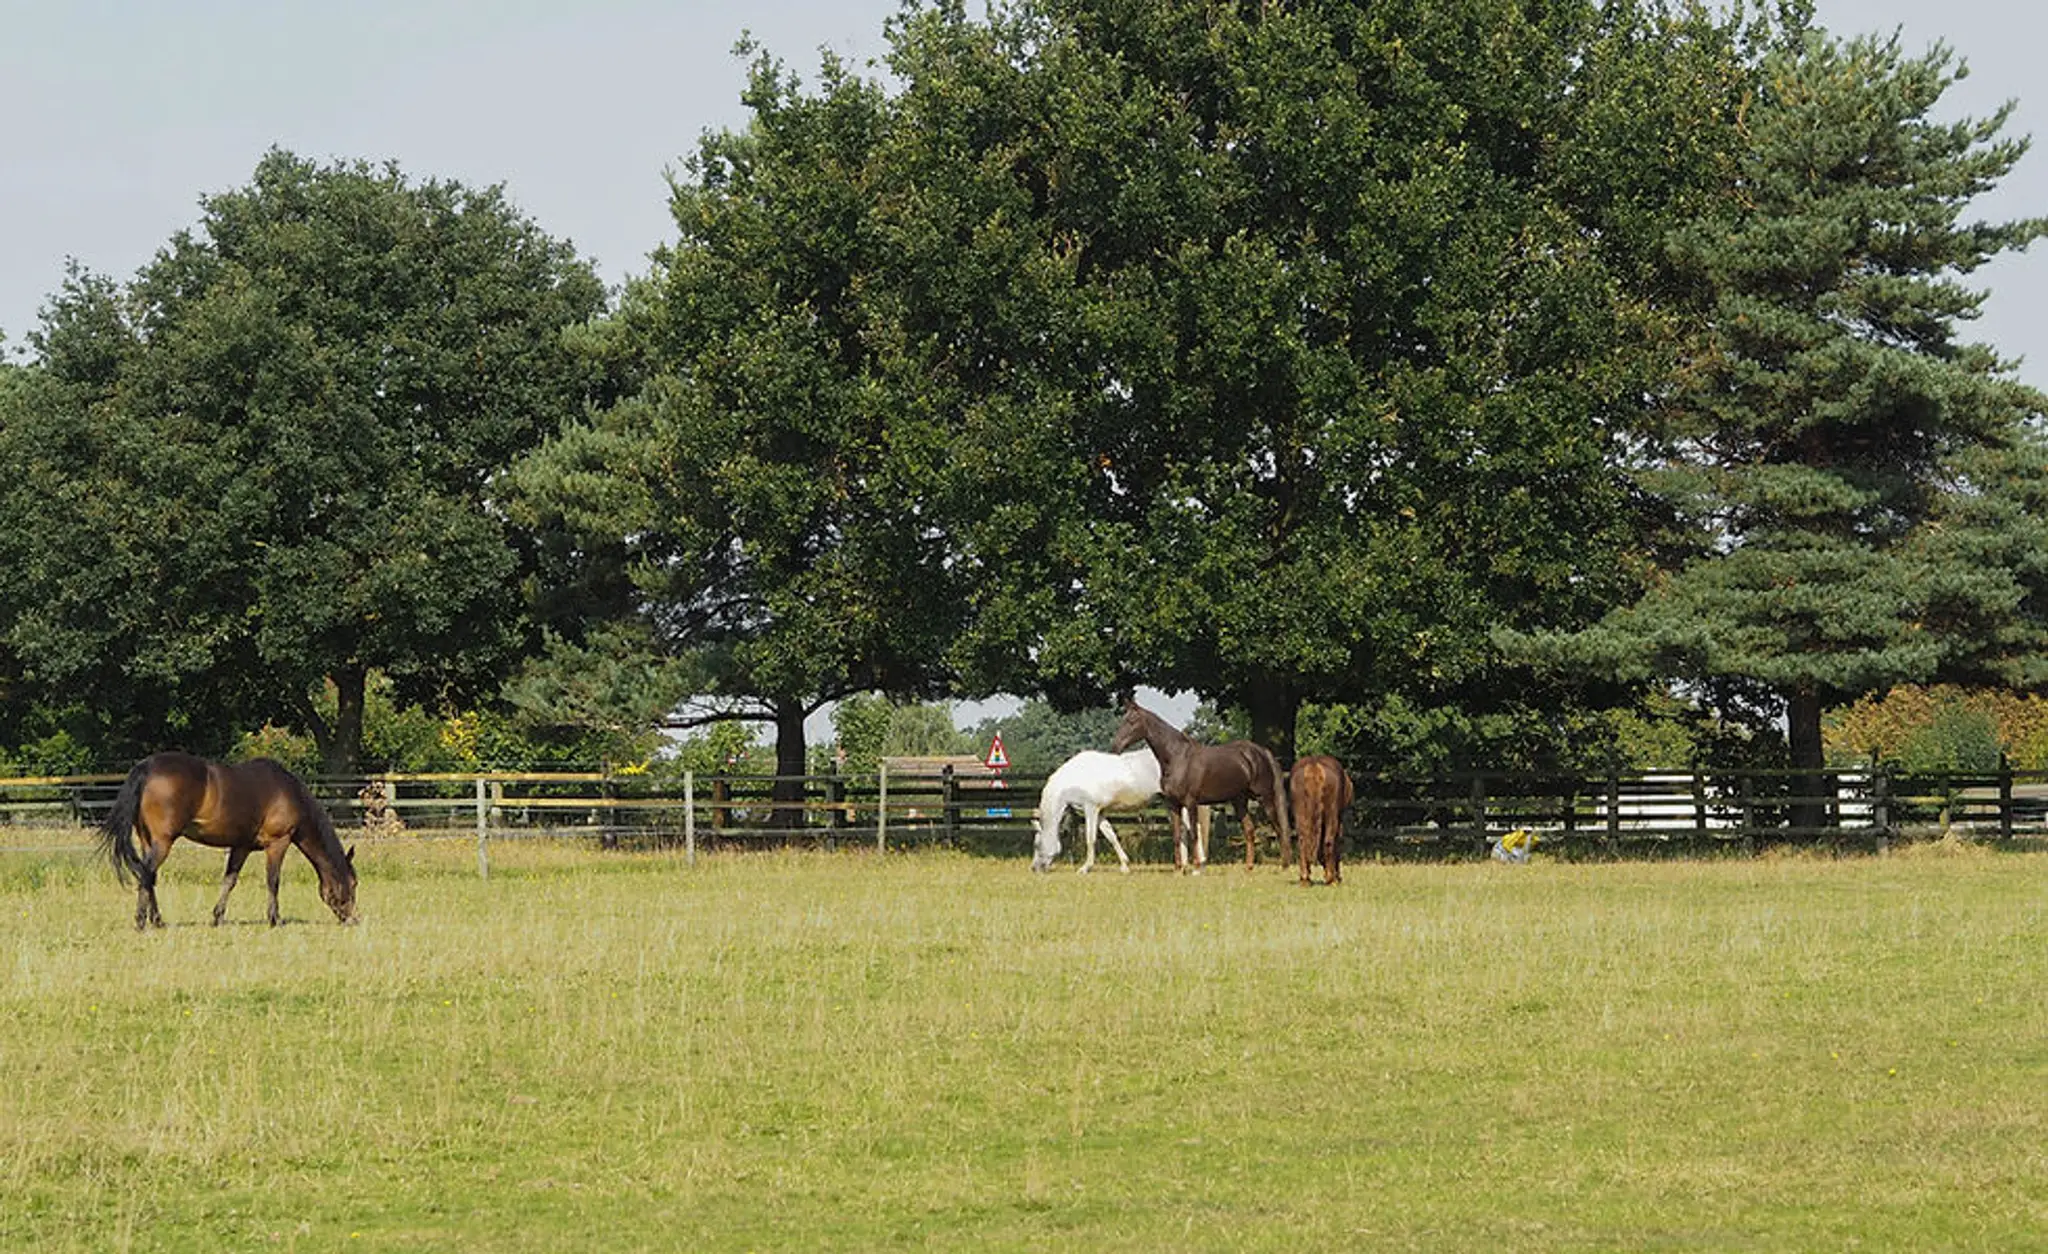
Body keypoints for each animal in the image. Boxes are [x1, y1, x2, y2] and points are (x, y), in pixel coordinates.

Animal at [97, 751, 358, 929]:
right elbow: (273, 880)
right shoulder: (278, 842)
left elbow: (229, 881)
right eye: (354, 883)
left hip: (147, 840)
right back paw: (143, 921)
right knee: (146, 873)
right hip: (162, 842)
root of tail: (147, 768)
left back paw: (157, 920)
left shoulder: (241, 846)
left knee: (148, 875)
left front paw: (217, 917)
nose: (353, 919)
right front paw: (275, 919)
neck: (289, 793)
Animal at [1108, 699, 1292, 873]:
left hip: (1265, 799)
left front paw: (1196, 867)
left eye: (1132, 720)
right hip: (1239, 801)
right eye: (1124, 719)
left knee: (1278, 829)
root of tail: (1262, 752)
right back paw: (1248, 867)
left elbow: (1194, 834)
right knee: (1249, 830)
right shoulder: (1173, 804)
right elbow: (1177, 835)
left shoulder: (1191, 803)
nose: (1115, 746)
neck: (1177, 757)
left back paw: (1284, 865)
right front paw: (1178, 869)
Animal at [1289, 754, 1354, 887]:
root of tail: (1314, 767)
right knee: (1329, 841)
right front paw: (1336, 875)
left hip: (1301, 814)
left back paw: (1305, 878)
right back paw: (1331, 879)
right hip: (1331, 814)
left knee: (1303, 841)